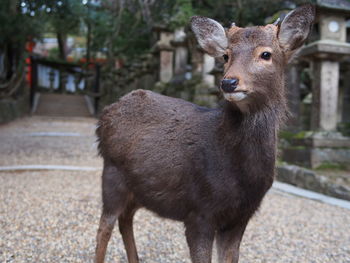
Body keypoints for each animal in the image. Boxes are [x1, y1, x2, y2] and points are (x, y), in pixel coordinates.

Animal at [94, 4, 316, 263]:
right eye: (226, 55)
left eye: (266, 54)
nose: (229, 82)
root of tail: (105, 116)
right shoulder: (199, 211)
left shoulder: (241, 217)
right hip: (112, 175)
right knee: (105, 226)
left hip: (139, 189)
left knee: (125, 219)